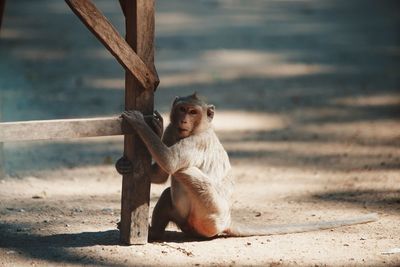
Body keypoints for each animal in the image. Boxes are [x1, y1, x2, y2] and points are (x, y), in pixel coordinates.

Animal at [116, 93, 378, 241]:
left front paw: (140, 123)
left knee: (186, 172)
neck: (195, 130)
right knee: (169, 191)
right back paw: (154, 233)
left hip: (211, 216)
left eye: (192, 111)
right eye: (181, 109)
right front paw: (129, 159)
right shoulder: (174, 133)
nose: (183, 119)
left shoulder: (197, 141)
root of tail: (227, 221)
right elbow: (162, 174)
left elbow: (170, 164)